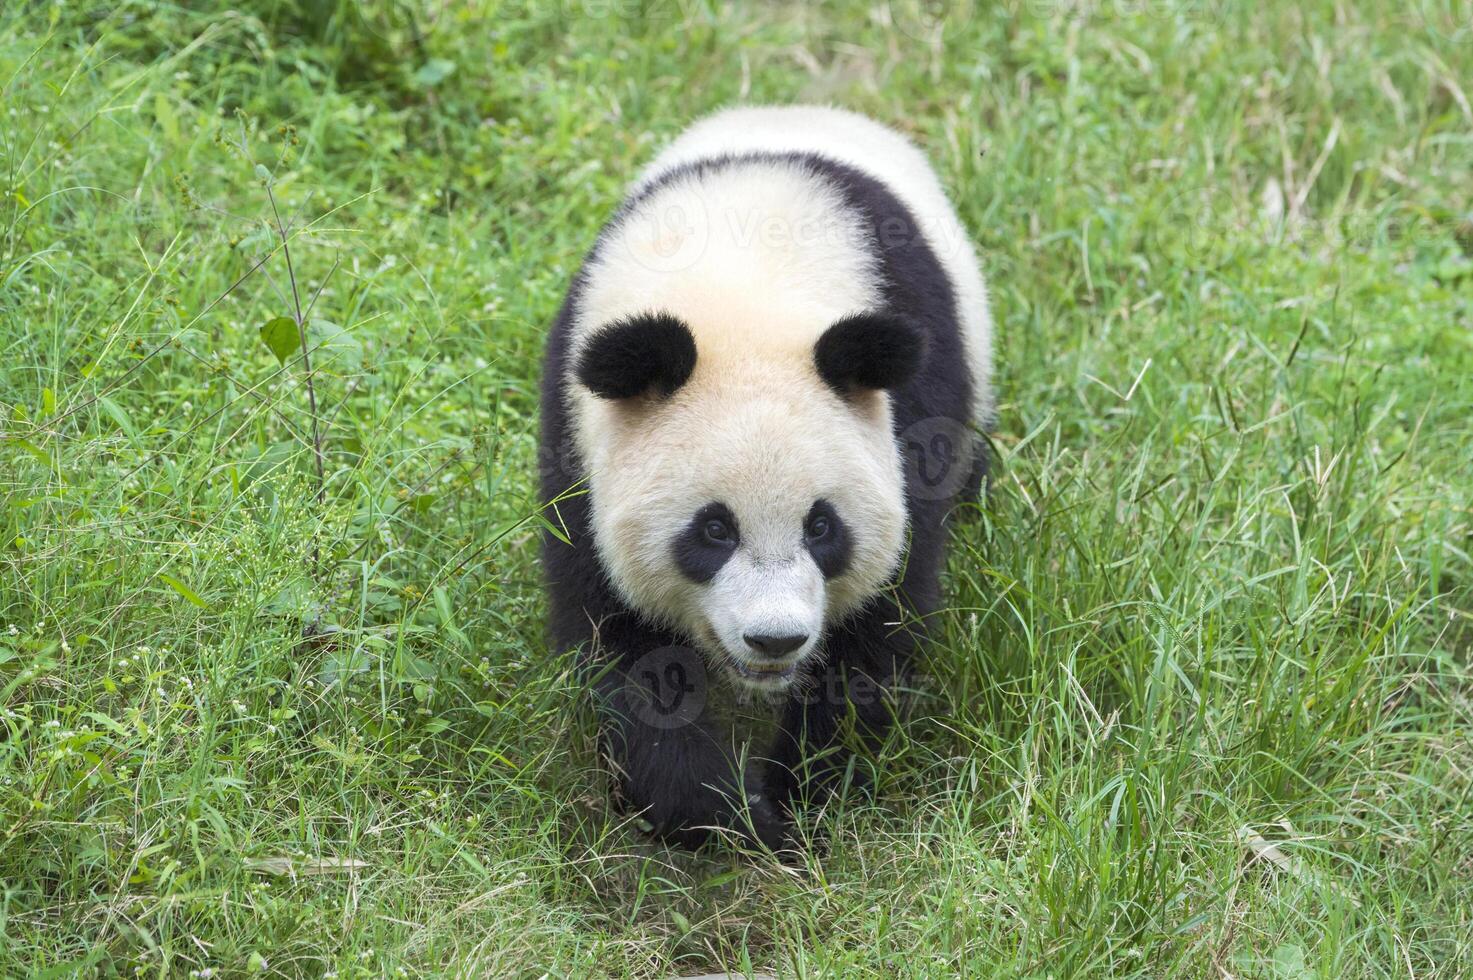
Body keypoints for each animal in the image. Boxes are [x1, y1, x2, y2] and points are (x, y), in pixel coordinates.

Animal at [542, 100, 989, 848]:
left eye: (822, 527)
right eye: (713, 529)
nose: (775, 639)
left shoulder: (913, 414)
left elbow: (881, 617)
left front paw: (798, 796)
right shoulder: (577, 434)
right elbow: (619, 634)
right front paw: (709, 806)